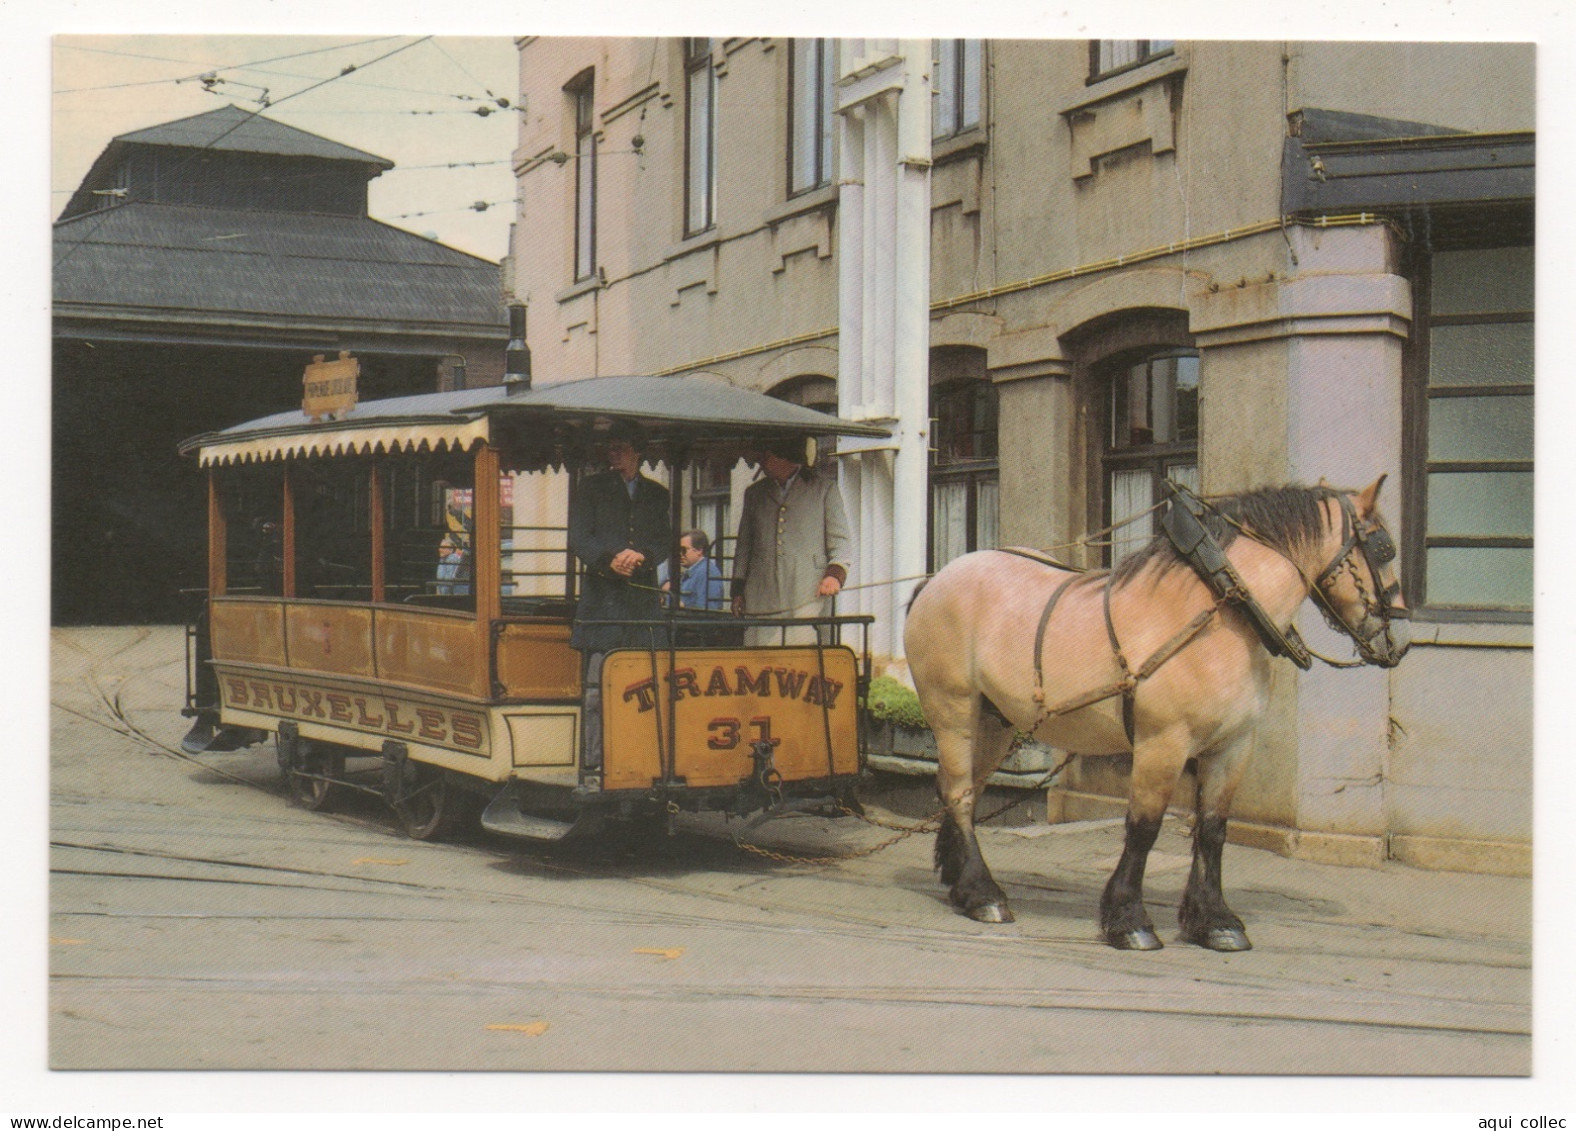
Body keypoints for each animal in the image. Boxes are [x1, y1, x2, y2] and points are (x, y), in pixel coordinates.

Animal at [907, 482, 1412, 951]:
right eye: (1384, 548)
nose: (1401, 642)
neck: (1217, 614)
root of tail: (936, 579)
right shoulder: (1162, 744)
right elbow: (1144, 828)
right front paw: (1129, 920)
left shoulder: (1232, 746)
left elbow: (1212, 830)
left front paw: (1215, 921)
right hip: (953, 710)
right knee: (960, 793)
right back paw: (983, 895)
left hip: (993, 721)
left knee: (962, 789)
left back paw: (960, 882)